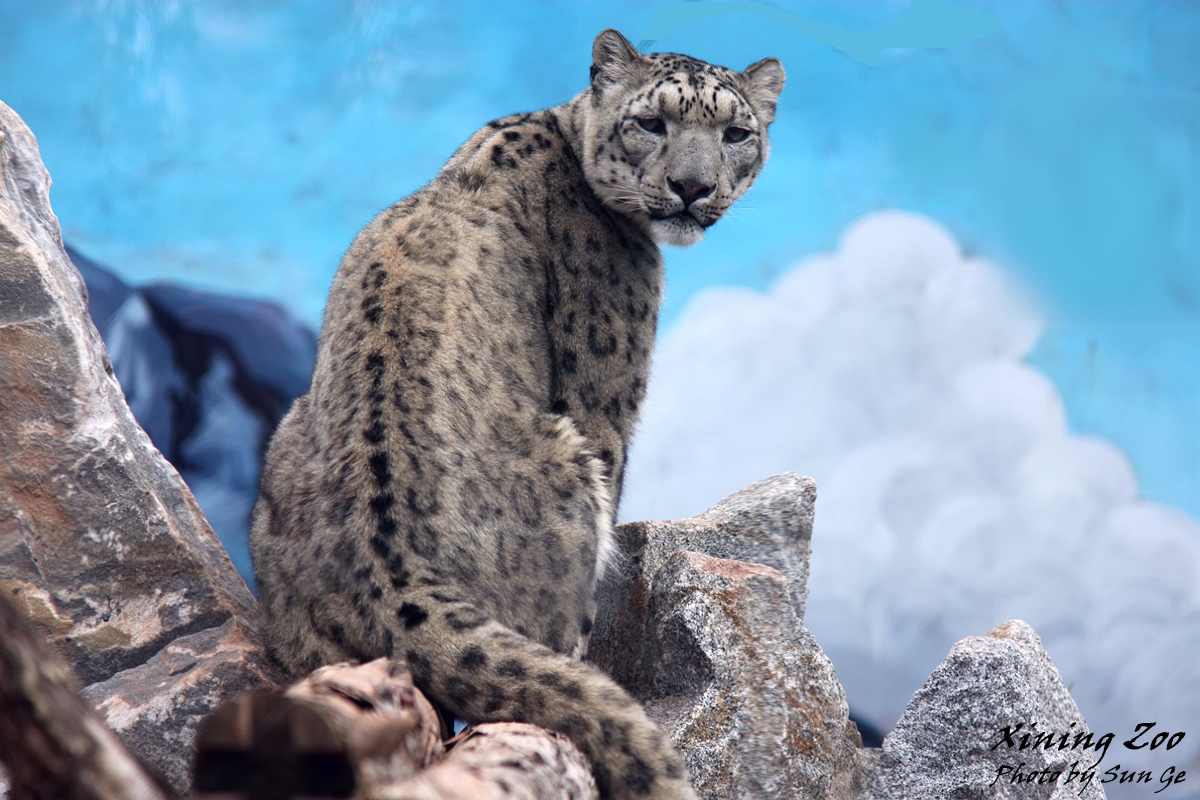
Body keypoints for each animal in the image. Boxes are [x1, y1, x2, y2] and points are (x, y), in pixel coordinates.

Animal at [249, 29, 783, 799]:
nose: (693, 187)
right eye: (652, 123)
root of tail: (392, 581)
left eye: (736, 133)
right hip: (570, 464)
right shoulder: (605, 392)